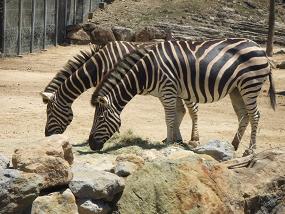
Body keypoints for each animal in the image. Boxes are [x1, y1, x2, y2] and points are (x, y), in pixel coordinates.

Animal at [41, 41, 199, 143]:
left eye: (49, 113)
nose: (47, 135)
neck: (99, 64)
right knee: (181, 110)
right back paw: (175, 139)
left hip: (185, 88)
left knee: (193, 111)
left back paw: (194, 139)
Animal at [89, 37, 276, 154]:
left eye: (100, 119)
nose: (91, 145)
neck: (146, 71)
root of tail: (259, 48)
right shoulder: (170, 91)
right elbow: (178, 115)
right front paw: (174, 141)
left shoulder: (168, 90)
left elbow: (170, 118)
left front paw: (169, 144)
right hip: (236, 89)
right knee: (244, 115)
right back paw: (233, 145)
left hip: (250, 84)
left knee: (255, 115)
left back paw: (250, 150)